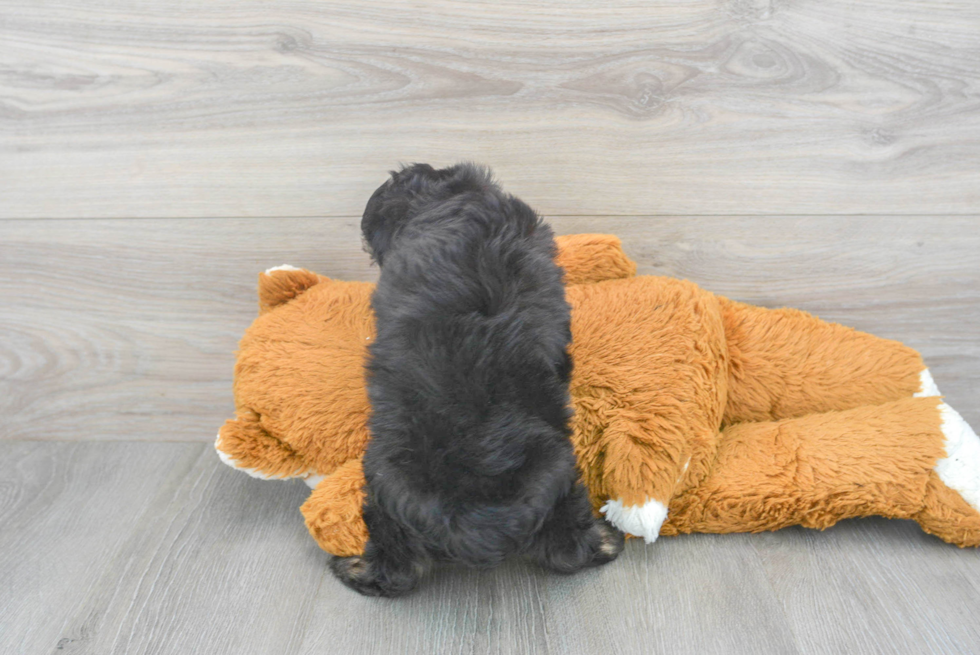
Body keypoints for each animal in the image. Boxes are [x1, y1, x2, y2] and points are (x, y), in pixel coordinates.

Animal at [330, 161, 620, 596]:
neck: (450, 198)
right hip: (560, 472)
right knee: (568, 547)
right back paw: (604, 542)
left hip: (382, 479)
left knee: (396, 564)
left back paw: (354, 567)